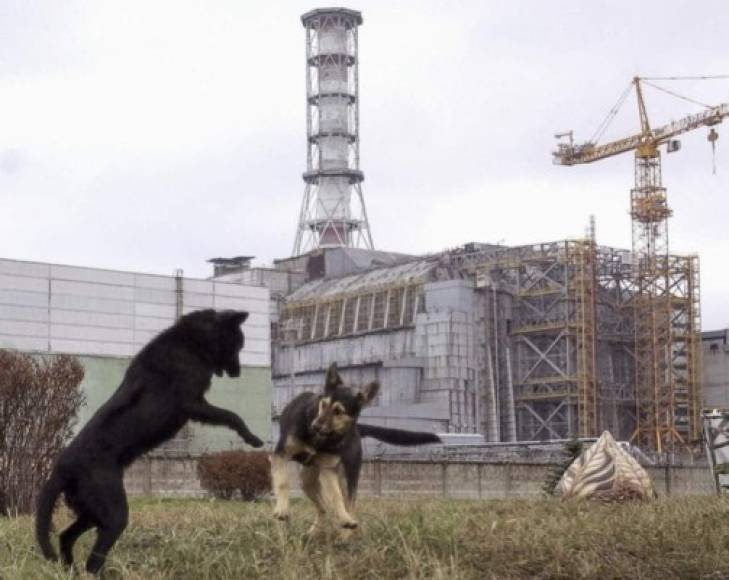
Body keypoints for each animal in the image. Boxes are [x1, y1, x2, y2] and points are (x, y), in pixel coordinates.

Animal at [35, 310, 264, 572]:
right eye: (238, 345)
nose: (238, 372)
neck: (190, 343)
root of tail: (62, 468)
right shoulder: (192, 403)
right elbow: (231, 415)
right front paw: (252, 438)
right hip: (113, 513)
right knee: (93, 561)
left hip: (91, 512)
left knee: (66, 537)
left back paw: (70, 570)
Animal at [270, 362, 440, 540]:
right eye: (323, 404)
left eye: (338, 411)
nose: (314, 426)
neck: (319, 439)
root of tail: (357, 430)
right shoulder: (280, 455)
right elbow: (283, 482)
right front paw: (282, 510)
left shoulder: (328, 470)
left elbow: (337, 497)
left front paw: (345, 520)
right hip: (307, 479)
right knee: (323, 507)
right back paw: (316, 532)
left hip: (348, 474)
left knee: (346, 503)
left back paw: (345, 532)